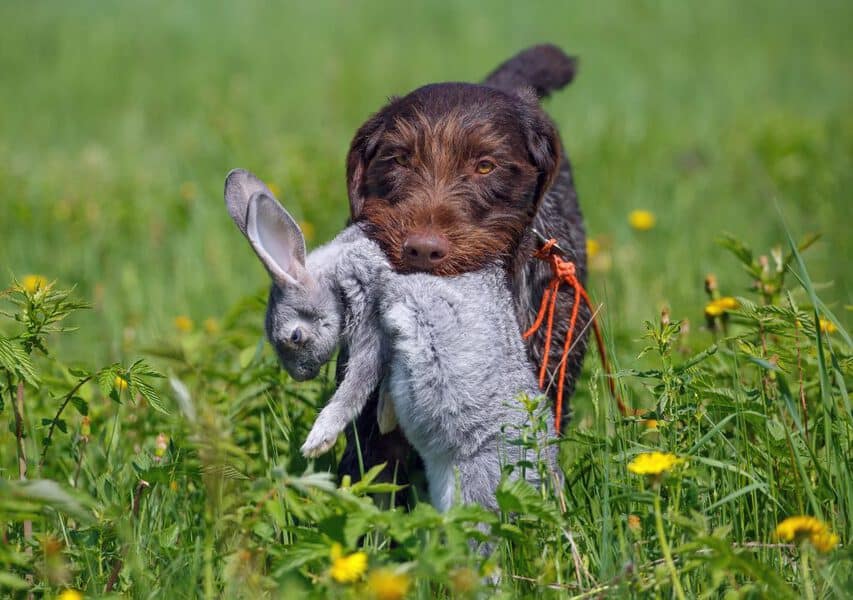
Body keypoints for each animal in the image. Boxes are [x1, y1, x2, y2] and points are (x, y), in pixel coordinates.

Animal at [225, 169, 560, 510]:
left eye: (295, 336)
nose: (300, 375)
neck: (337, 274)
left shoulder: (371, 323)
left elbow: (356, 385)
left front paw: (317, 441)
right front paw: (384, 418)